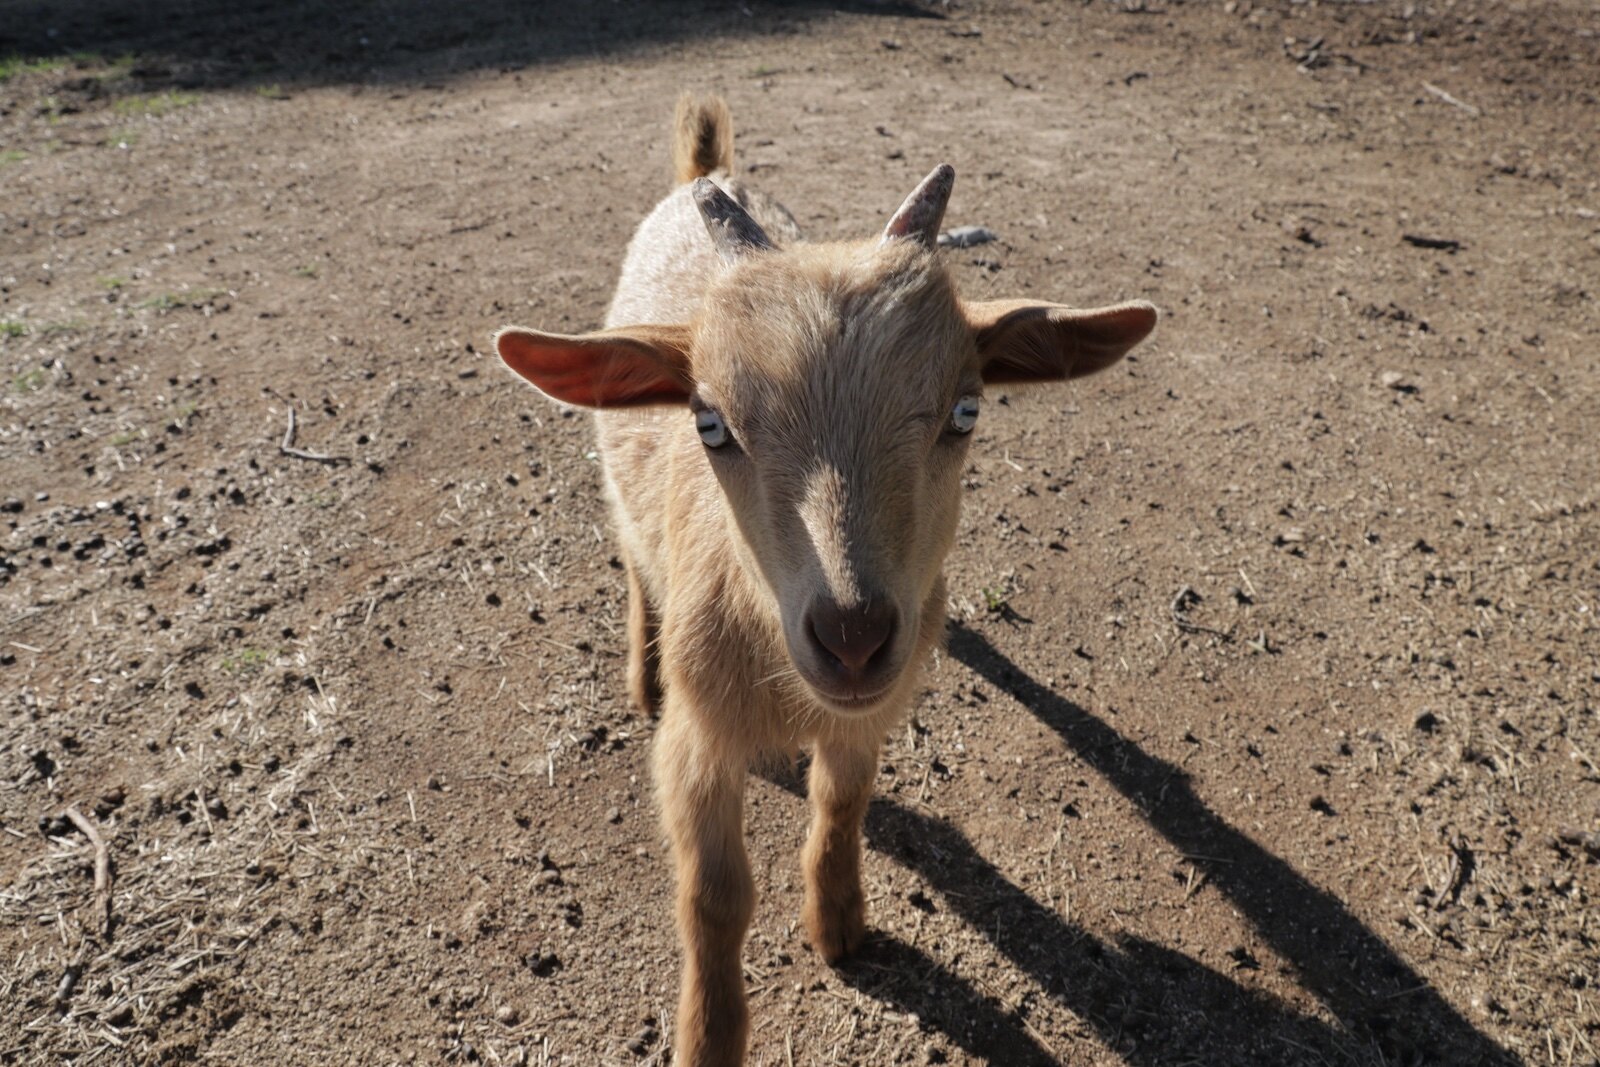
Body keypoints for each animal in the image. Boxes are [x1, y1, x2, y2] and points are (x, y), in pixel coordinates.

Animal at [492, 93, 1158, 1067]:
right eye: (710, 422)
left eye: (966, 410)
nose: (852, 636)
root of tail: (706, 170)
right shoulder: (696, 742)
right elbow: (714, 896)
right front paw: (708, 1037)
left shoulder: (869, 713)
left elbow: (842, 801)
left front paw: (838, 922)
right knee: (634, 556)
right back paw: (641, 671)